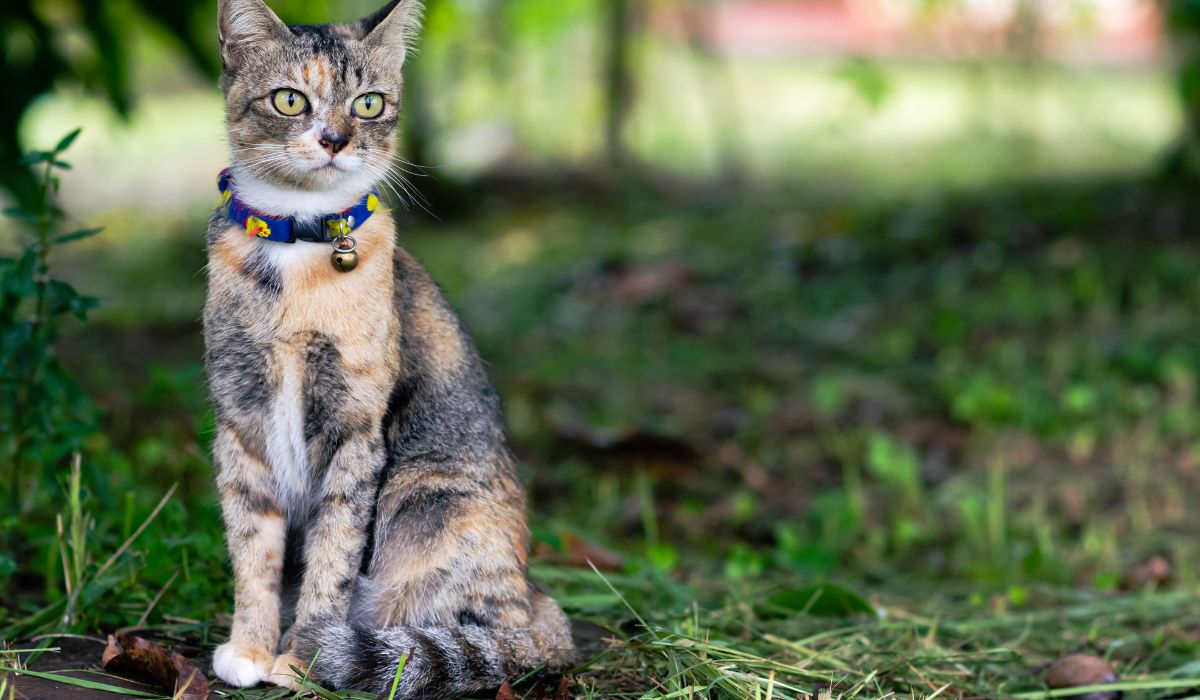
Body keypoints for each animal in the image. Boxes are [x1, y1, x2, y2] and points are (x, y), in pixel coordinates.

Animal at [201, 1, 576, 696]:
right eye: (290, 99)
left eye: (369, 103)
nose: (335, 138)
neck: (297, 250)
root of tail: (539, 606)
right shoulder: (239, 422)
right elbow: (252, 547)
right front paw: (251, 647)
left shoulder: (356, 431)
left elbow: (333, 555)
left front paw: (302, 658)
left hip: (426, 495)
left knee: (481, 636)